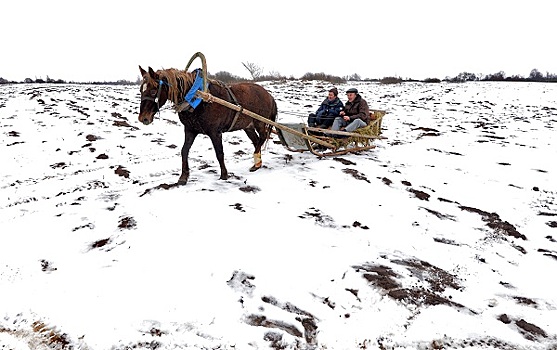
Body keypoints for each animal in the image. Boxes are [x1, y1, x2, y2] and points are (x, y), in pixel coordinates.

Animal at [137, 66, 276, 186]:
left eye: (153, 90)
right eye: (140, 90)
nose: (143, 118)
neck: (197, 98)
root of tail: (268, 94)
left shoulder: (215, 133)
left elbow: (219, 153)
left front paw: (224, 175)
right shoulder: (190, 130)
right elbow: (184, 151)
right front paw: (183, 177)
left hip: (259, 122)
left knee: (263, 137)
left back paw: (256, 157)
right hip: (248, 126)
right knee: (256, 140)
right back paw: (257, 163)